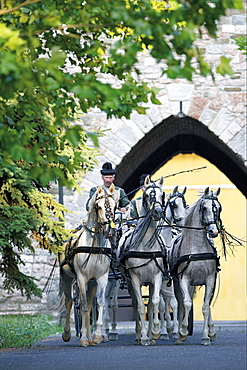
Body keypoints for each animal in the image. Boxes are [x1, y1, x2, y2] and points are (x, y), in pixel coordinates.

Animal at [60, 185, 117, 346]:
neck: (95, 244)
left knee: (91, 304)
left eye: (114, 205)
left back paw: (89, 336)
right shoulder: (81, 278)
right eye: (99, 206)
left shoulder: (101, 278)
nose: (110, 230)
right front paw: (84, 338)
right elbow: (84, 306)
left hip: (92, 283)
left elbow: (100, 303)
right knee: (69, 302)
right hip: (67, 279)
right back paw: (68, 333)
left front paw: (96, 336)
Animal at [170, 189, 222, 346]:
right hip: (177, 283)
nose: (213, 231)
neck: (197, 249)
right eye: (204, 208)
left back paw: (211, 331)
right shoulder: (183, 279)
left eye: (218, 208)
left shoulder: (210, 279)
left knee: (207, 304)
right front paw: (183, 331)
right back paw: (179, 334)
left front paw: (206, 336)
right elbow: (186, 304)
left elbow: (206, 307)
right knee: (181, 303)